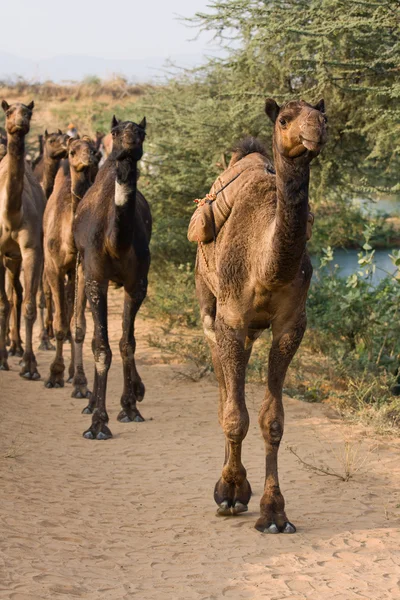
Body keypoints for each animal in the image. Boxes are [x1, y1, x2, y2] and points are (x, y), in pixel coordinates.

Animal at [192, 99, 326, 536]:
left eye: (324, 115)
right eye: (284, 119)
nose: (316, 129)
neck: (266, 264)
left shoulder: (291, 325)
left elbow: (273, 420)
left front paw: (274, 513)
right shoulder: (231, 320)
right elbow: (236, 416)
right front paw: (231, 493)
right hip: (208, 299)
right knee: (222, 387)